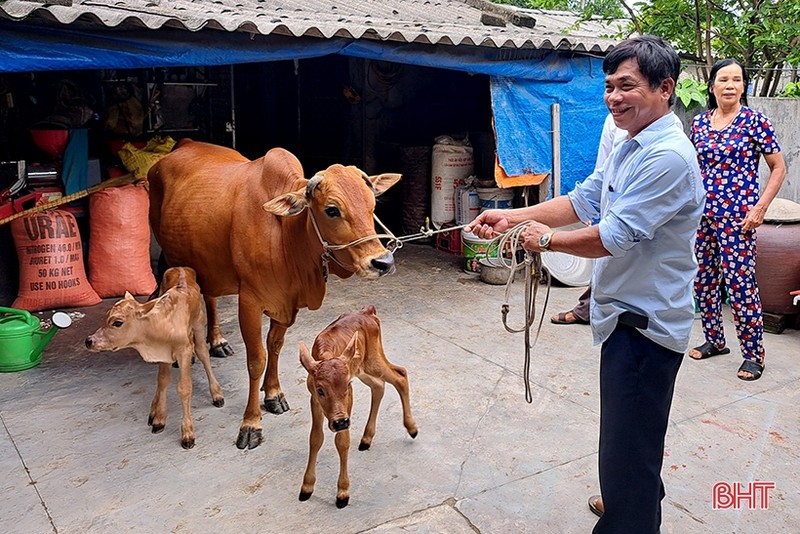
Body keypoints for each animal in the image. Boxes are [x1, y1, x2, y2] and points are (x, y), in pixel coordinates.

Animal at [85, 266, 223, 450]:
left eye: (117, 322)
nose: (89, 340)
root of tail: (181, 268)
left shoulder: (184, 350)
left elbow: (184, 387)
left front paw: (187, 433)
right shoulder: (164, 354)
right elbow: (163, 381)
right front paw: (159, 418)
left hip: (199, 323)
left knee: (203, 353)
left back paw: (217, 394)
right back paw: (153, 410)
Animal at [147, 141, 400, 452]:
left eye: (371, 205)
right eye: (332, 210)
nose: (383, 262)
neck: (284, 235)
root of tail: (181, 145)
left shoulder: (286, 303)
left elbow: (275, 346)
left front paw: (273, 394)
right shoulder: (250, 302)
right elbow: (257, 359)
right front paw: (251, 423)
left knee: (211, 297)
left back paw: (217, 341)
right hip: (173, 260)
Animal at [298, 306, 418, 510]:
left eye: (347, 385)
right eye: (321, 390)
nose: (340, 422)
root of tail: (367, 312)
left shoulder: (350, 397)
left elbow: (342, 442)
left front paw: (343, 492)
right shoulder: (314, 400)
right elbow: (315, 438)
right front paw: (307, 487)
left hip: (373, 360)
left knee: (400, 375)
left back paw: (412, 428)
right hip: (363, 368)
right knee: (379, 386)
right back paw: (366, 438)